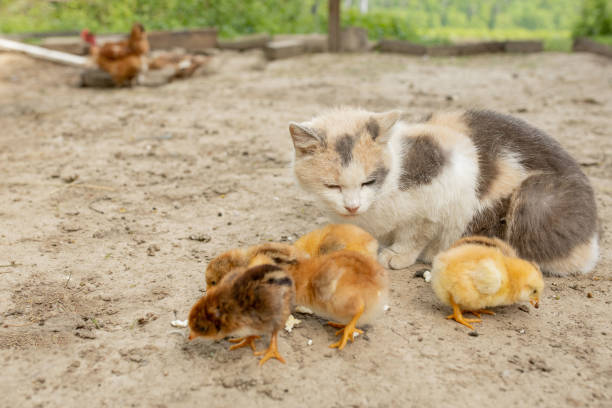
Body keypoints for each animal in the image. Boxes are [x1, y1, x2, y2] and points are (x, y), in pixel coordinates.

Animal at [290, 107, 600, 278]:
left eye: (370, 181)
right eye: (333, 186)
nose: (352, 206)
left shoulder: (452, 173)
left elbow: (417, 231)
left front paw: (397, 255)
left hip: (536, 198)